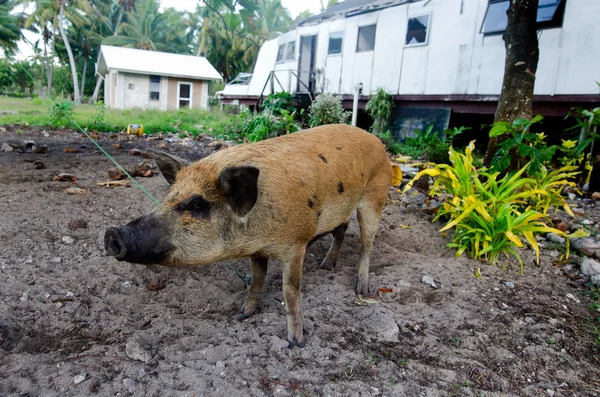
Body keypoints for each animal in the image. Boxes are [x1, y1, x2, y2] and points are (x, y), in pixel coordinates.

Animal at [105, 124, 392, 346]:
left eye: (197, 204)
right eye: (168, 197)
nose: (112, 234)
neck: (258, 232)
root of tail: (376, 140)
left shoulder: (295, 244)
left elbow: (290, 291)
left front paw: (295, 343)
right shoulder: (257, 249)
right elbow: (256, 279)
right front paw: (241, 315)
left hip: (374, 199)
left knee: (367, 244)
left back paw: (361, 289)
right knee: (341, 230)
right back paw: (326, 267)